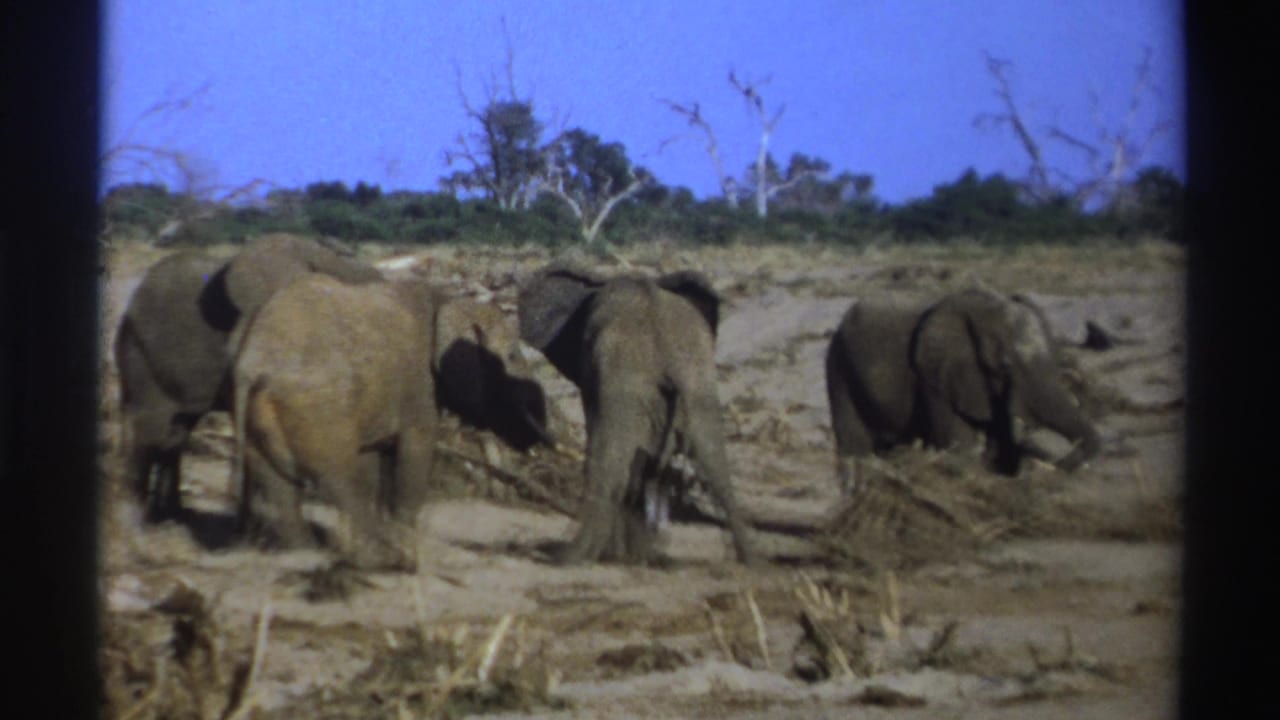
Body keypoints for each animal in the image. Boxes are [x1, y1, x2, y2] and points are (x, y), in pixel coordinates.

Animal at [231, 273, 551, 570]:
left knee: (278, 484)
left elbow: (375, 461)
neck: (446, 299)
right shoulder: (419, 387)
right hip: (319, 408)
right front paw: (406, 553)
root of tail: (253, 364)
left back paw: (308, 552)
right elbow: (414, 452)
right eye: (511, 356)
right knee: (339, 478)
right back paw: (380, 560)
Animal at [517, 262, 756, 566]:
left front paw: (621, 556)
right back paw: (755, 562)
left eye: (586, 344)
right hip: (696, 387)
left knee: (610, 460)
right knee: (714, 462)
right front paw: (636, 556)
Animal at [825, 286, 1101, 494]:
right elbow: (959, 445)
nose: (1047, 466)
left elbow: (1000, 443)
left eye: (1055, 355)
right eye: (1005, 366)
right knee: (855, 445)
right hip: (837, 366)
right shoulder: (935, 376)